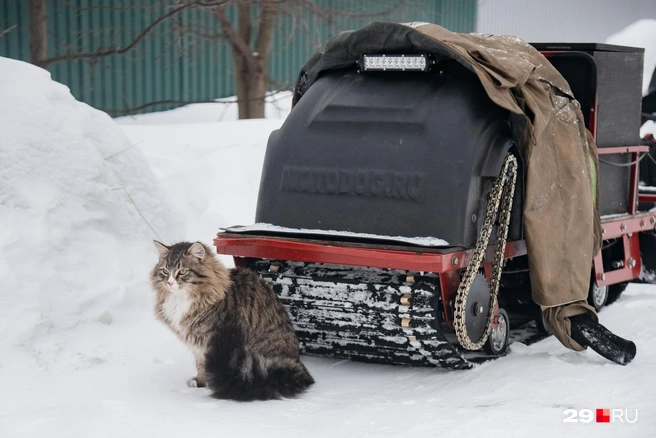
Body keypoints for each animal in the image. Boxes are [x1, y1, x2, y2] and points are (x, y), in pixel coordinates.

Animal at [150, 241, 314, 402]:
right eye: (165, 271)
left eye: (183, 271)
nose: (170, 283)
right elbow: (199, 363)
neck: (181, 299)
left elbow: (205, 364)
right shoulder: (196, 342)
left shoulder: (210, 339)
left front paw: (209, 383)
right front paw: (200, 381)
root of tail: (299, 369)